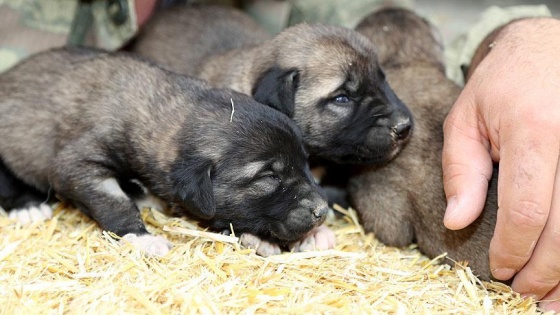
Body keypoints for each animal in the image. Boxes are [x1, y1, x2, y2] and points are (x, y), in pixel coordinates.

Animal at [0, 47, 330, 260]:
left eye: (305, 164)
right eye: (269, 176)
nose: (322, 211)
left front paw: (310, 235)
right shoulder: (78, 164)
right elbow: (114, 202)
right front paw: (142, 238)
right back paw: (28, 207)